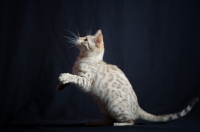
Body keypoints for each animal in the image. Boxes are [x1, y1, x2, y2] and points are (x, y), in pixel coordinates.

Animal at [56, 29, 198, 126]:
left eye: (85, 39)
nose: (78, 37)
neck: (81, 58)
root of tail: (137, 106)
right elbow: (71, 79)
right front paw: (60, 85)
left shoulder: (86, 82)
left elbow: (75, 78)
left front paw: (65, 76)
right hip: (103, 107)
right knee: (108, 120)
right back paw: (94, 122)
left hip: (114, 105)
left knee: (131, 121)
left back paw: (119, 123)